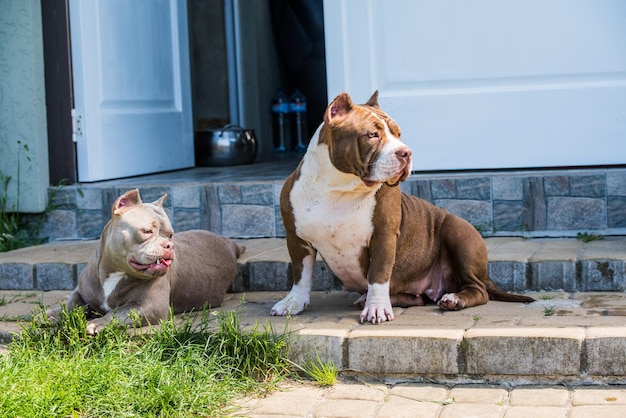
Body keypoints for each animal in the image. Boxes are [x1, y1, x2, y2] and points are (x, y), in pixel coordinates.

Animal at [44, 189, 243, 334]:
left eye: (170, 235)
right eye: (147, 231)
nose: (170, 245)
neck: (116, 272)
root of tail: (229, 243)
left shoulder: (148, 306)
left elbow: (119, 311)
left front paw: (98, 323)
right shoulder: (82, 292)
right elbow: (70, 304)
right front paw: (50, 315)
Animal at [268, 90, 532, 324]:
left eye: (398, 134)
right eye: (372, 135)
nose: (406, 152)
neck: (339, 188)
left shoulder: (383, 235)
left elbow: (378, 274)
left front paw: (376, 308)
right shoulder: (297, 239)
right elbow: (301, 274)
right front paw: (292, 302)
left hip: (459, 232)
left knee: (478, 290)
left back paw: (454, 299)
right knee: (416, 298)